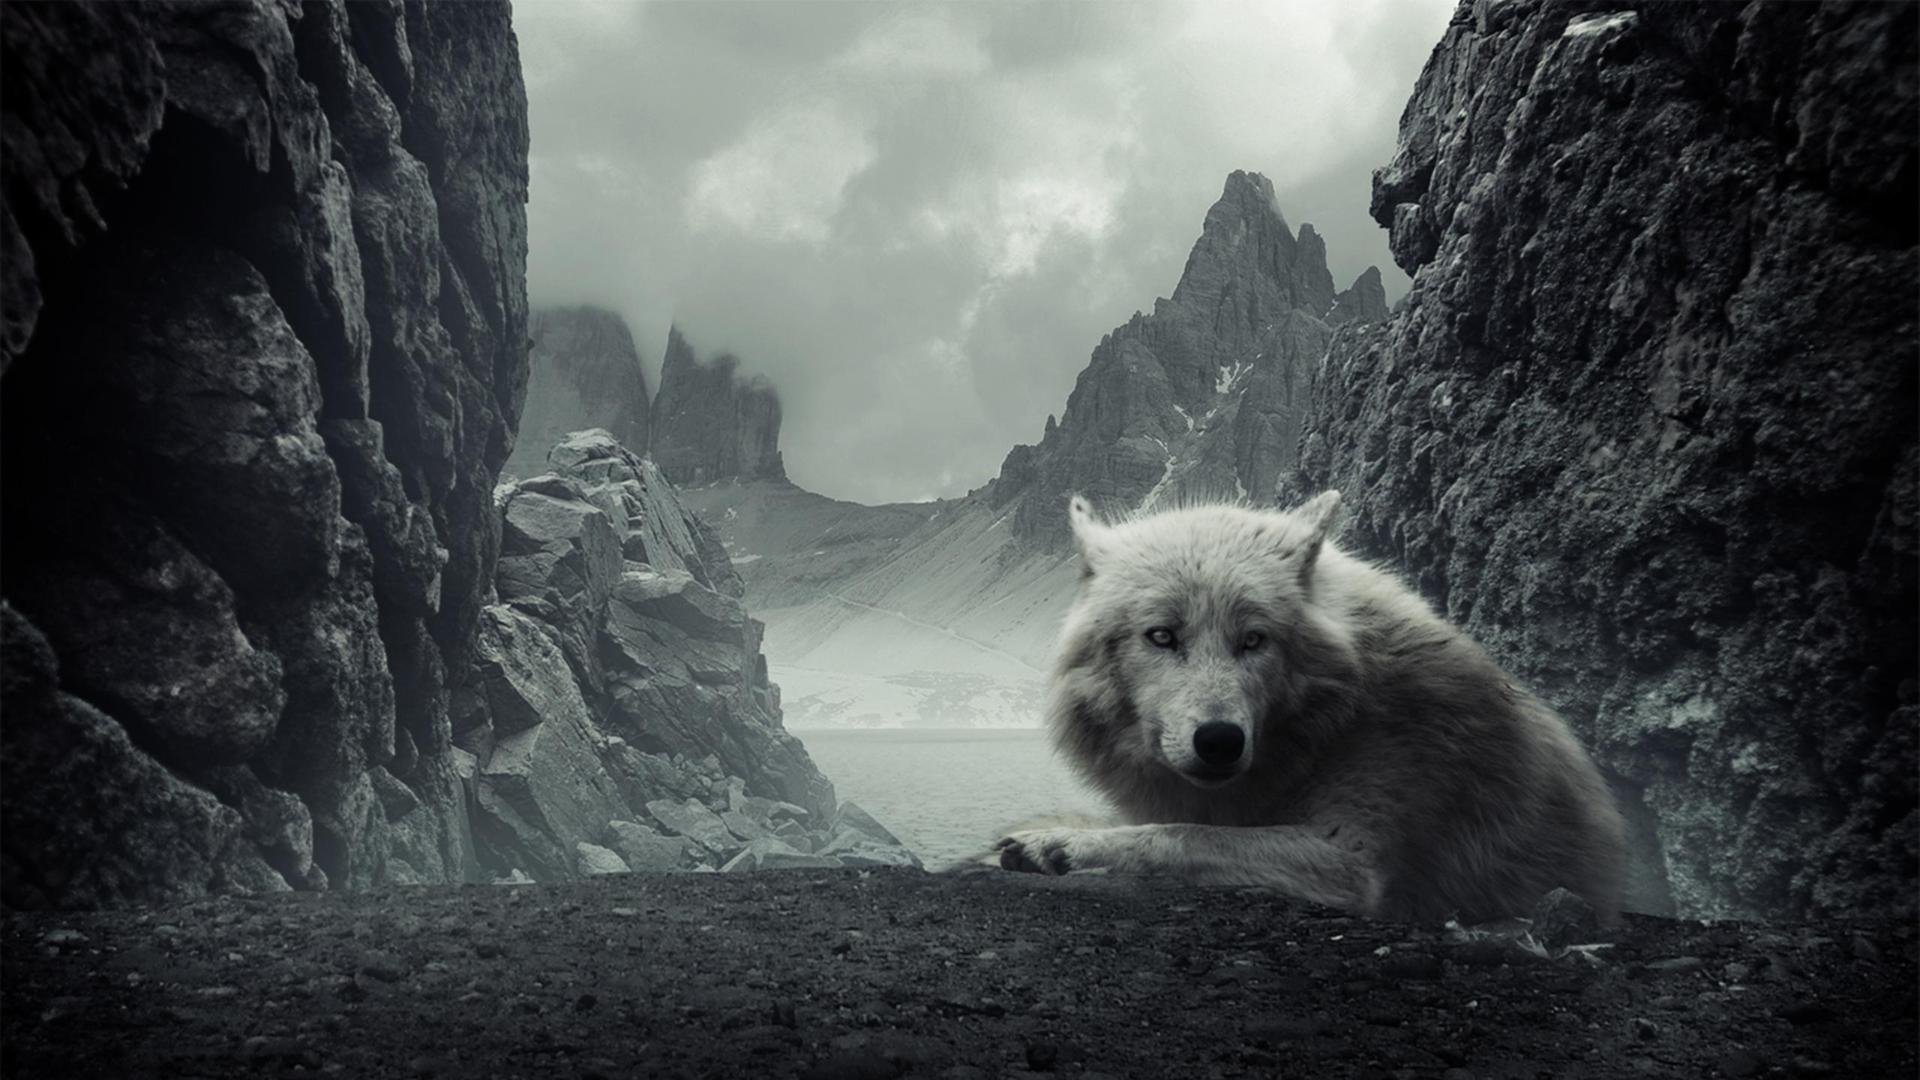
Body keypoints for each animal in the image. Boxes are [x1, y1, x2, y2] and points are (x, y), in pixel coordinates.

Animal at [994, 491, 1626, 923]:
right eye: (1162, 636)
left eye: (1254, 640)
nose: (1219, 741)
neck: (1330, 728)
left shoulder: (1352, 861)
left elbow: (1182, 835)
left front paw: (1060, 843)